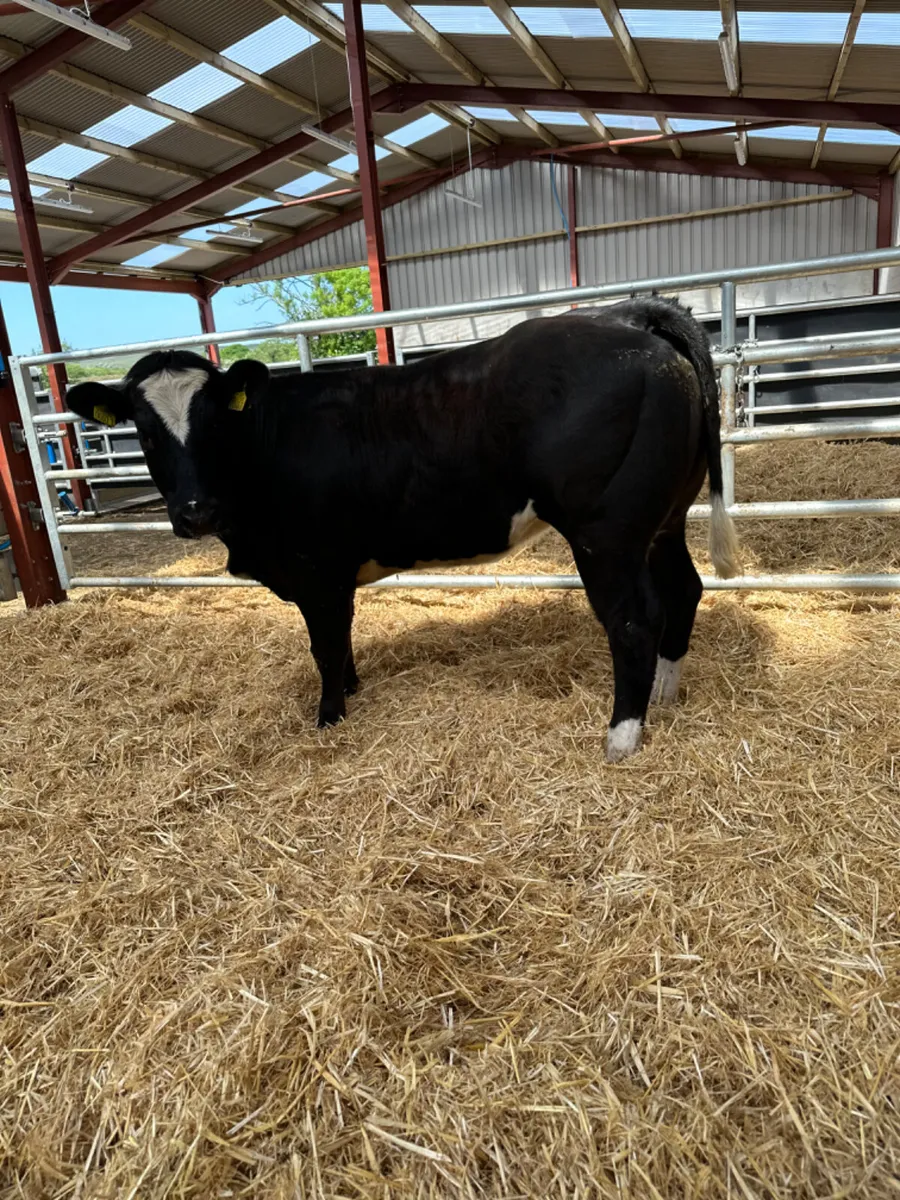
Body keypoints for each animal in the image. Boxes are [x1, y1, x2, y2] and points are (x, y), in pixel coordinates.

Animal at [66, 297, 739, 762]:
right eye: (143, 430)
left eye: (213, 422)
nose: (195, 511)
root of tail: (626, 314)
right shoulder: (331, 575)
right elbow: (340, 641)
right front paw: (351, 690)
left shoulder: (316, 569)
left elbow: (325, 643)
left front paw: (329, 716)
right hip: (663, 521)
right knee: (684, 589)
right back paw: (664, 695)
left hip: (607, 533)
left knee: (633, 621)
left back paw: (621, 736)